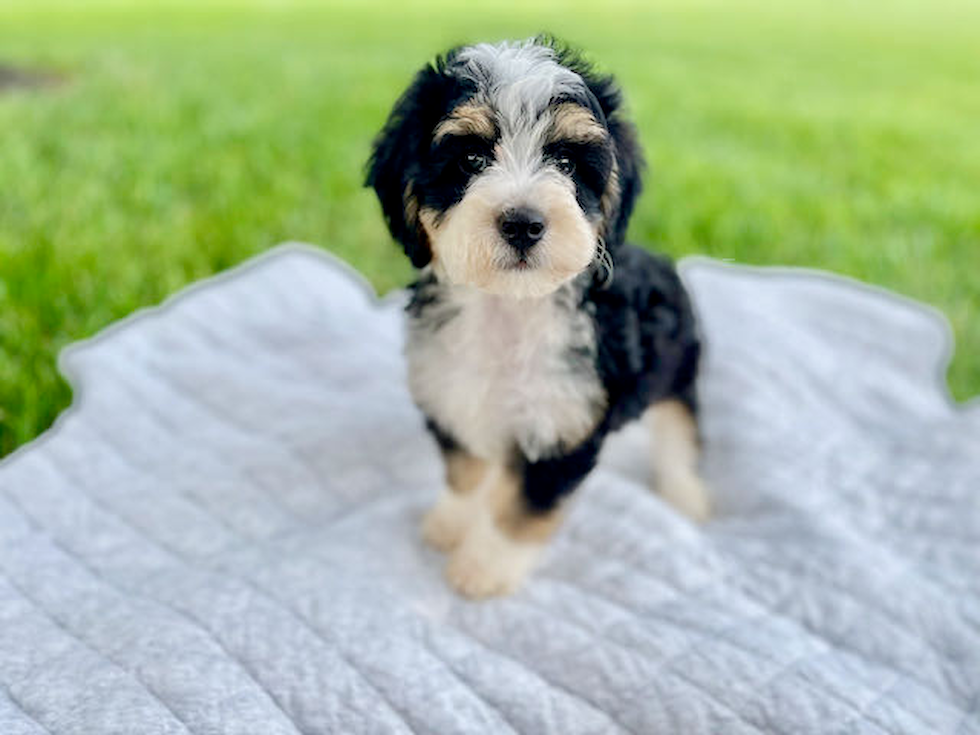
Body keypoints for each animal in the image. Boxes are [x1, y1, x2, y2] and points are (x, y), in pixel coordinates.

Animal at [364, 37, 708, 600]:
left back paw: (686, 494)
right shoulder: (452, 393)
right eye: (471, 159)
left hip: (677, 368)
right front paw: (451, 523)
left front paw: (484, 567)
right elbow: (467, 472)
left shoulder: (562, 427)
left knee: (679, 430)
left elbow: (519, 508)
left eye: (566, 162)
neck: (510, 307)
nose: (523, 224)